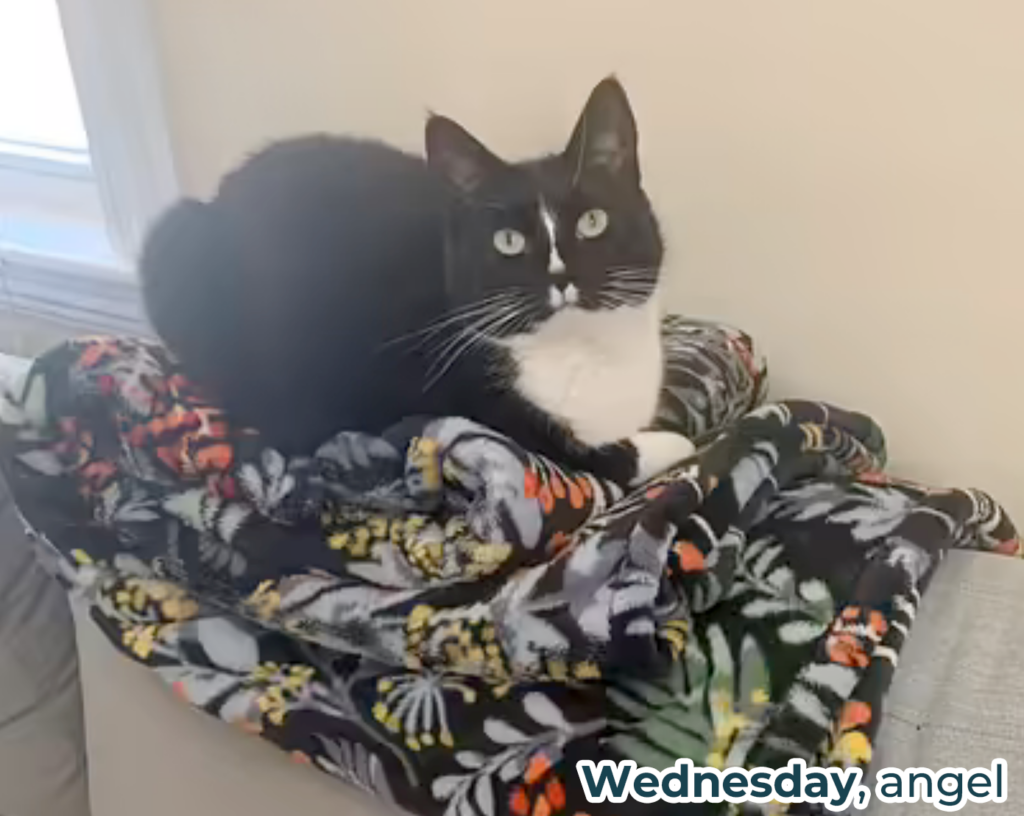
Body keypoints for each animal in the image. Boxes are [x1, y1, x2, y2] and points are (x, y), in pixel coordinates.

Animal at [140, 77, 692, 483]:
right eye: (508, 241)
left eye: (592, 222)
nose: (561, 276)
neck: (586, 356)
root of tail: (221, 194)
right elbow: (629, 453)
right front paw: (668, 444)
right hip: (173, 240)